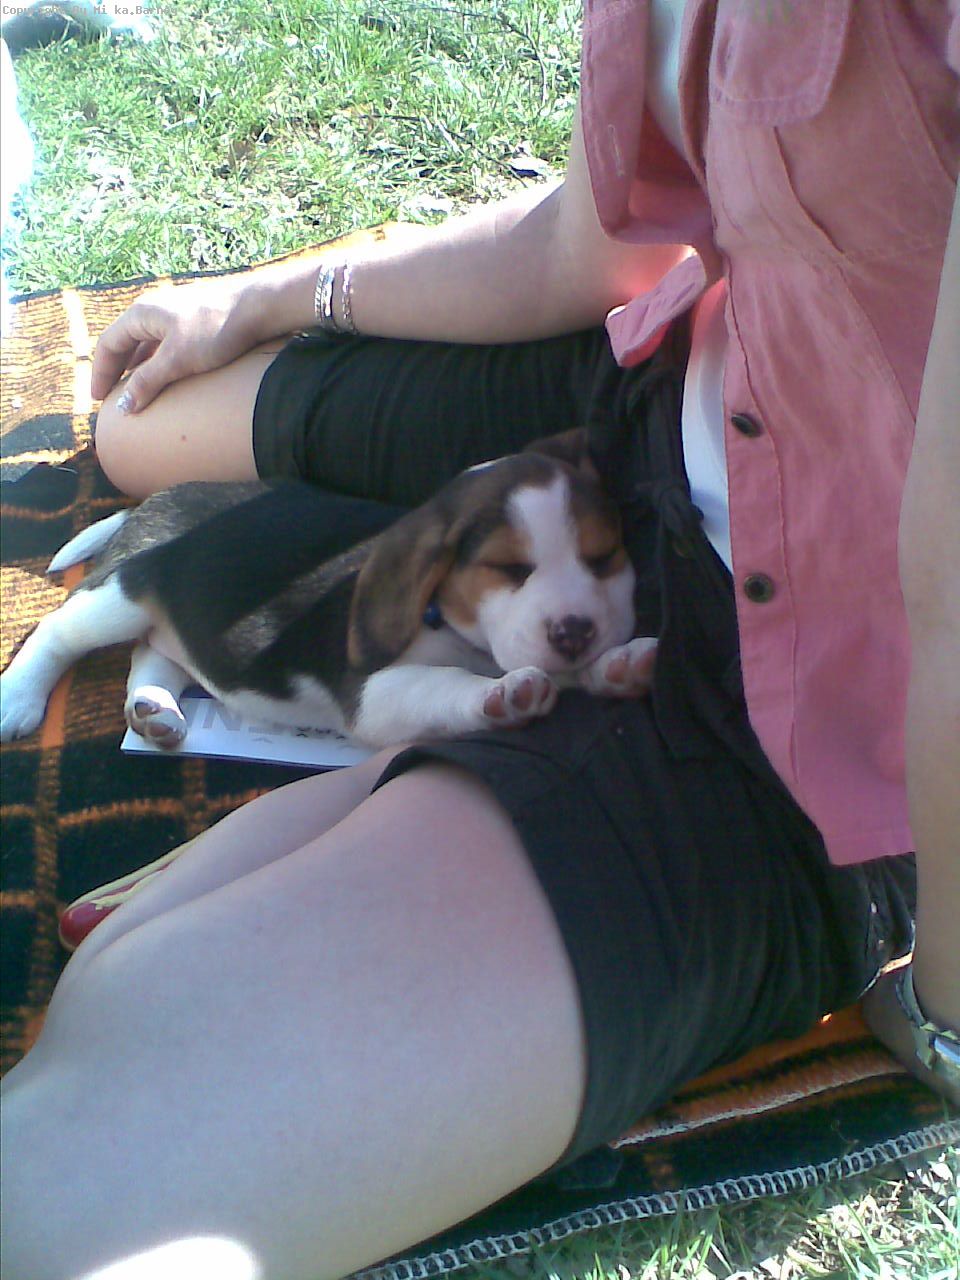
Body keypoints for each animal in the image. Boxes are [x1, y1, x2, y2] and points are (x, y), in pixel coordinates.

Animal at [0, 432, 657, 750]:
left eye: (604, 557)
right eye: (509, 568)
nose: (576, 631)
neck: (445, 618)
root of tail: (151, 503)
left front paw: (618, 664)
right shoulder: (373, 694)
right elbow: (448, 683)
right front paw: (501, 695)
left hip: (176, 626)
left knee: (155, 658)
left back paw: (155, 711)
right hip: (120, 594)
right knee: (57, 631)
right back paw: (19, 699)